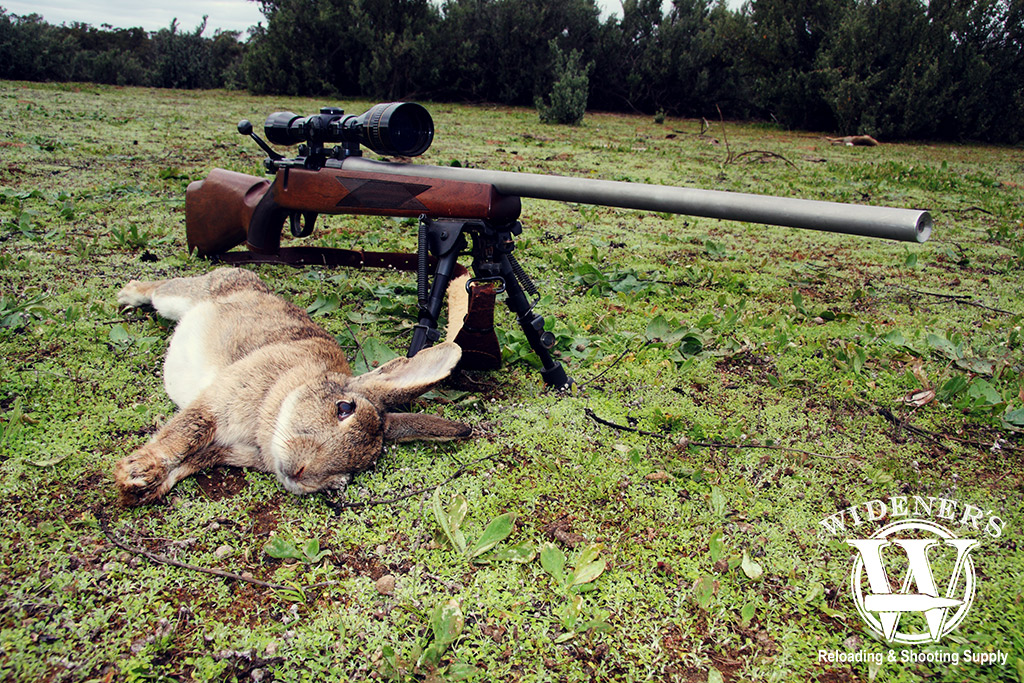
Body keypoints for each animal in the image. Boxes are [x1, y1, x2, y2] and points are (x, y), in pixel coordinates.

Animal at [114, 267, 471, 506]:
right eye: (344, 408)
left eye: (361, 467)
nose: (301, 473)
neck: (286, 389)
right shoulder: (218, 401)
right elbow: (184, 434)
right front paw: (137, 471)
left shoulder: (222, 450)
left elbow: (188, 462)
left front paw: (143, 487)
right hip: (179, 298)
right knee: (160, 289)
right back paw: (127, 294)